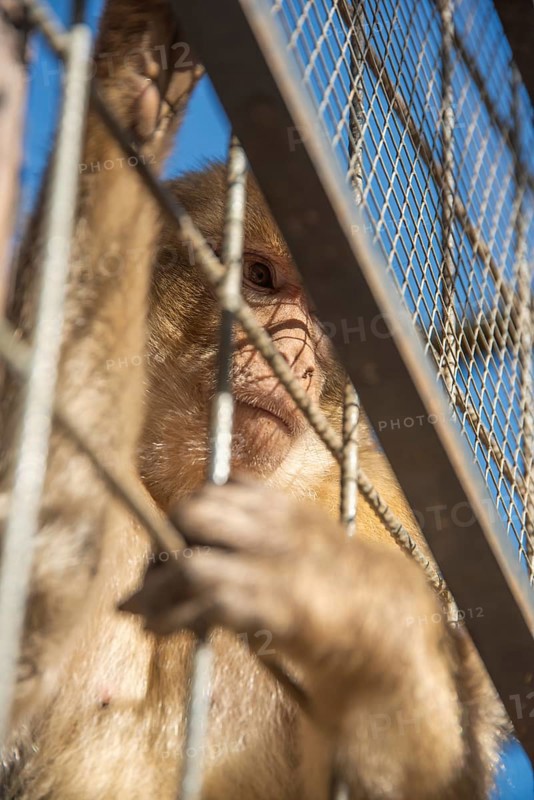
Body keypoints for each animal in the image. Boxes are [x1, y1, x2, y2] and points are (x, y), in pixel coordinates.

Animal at [0, 1, 510, 798]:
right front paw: (129, 98)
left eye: (326, 321)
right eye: (262, 278)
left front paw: (349, 604)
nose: (295, 352)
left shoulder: (375, 510)